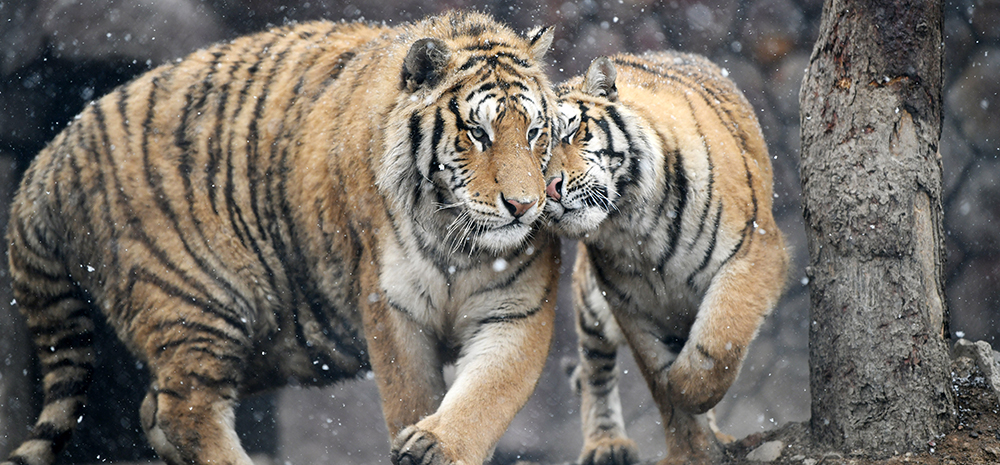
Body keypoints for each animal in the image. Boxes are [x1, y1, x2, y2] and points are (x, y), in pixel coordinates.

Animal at [1, 10, 564, 464]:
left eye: (535, 132)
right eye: (478, 133)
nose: (523, 206)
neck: (457, 239)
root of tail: (51, 155)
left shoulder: (516, 307)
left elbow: (487, 394)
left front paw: (436, 444)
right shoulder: (392, 307)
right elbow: (412, 395)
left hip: (268, 337)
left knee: (155, 407)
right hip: (194, 301)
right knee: (186, 409)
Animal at [548, 51, 788, 464]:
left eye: (569, 133)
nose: (549, 189)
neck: (630, 224)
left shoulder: (755, 252)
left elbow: (716, 344)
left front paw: (686, 388)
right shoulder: (629, 303)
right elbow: (658, 381)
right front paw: (691, 449)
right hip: (591, 301)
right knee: (595, 366)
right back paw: (605, 445)